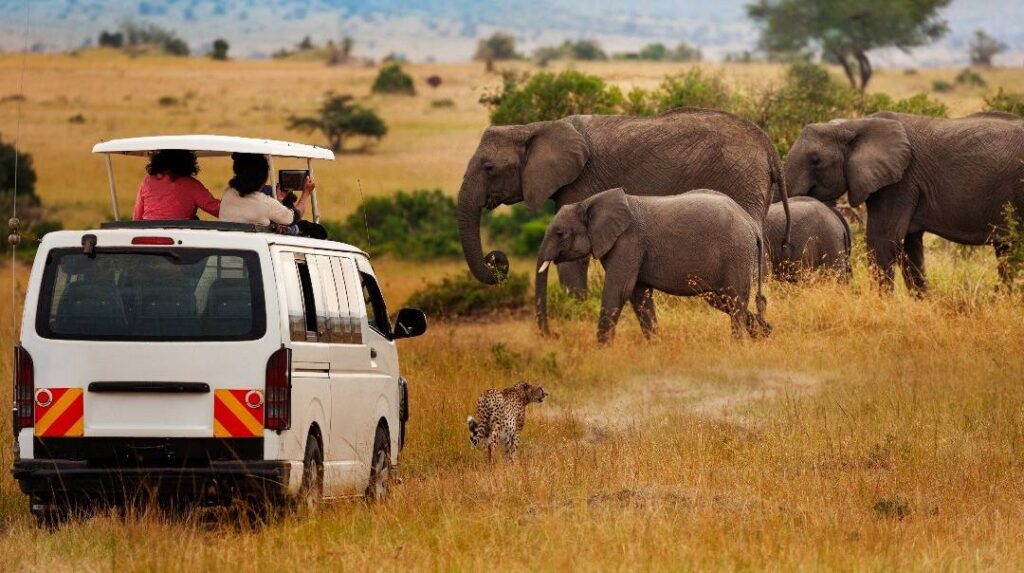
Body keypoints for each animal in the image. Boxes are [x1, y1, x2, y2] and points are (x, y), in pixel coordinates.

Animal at [458, 106, 790, 313]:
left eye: (488, 168)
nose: (496, 259)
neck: (535, 128)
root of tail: (768, 145)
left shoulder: (581, 182)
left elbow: (574, 259)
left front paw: (577, 310)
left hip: (740, 178)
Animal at [536, 188, 770, 341]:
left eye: (560, 234)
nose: (554, 335)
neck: (588, 202)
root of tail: (751, 224)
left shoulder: (628, 241)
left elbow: (619, 290)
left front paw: (601, 351)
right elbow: (638, 295)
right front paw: (654, 345)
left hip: (736, 253)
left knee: (734, 299)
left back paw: (739, 344)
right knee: (724, 300)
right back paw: (764, 334)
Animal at [782, 112, 1024, 290]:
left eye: (815, 160)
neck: (855, 124)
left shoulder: (901, 182)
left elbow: (882, 241)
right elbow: (910, 248)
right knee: (1006, 251)